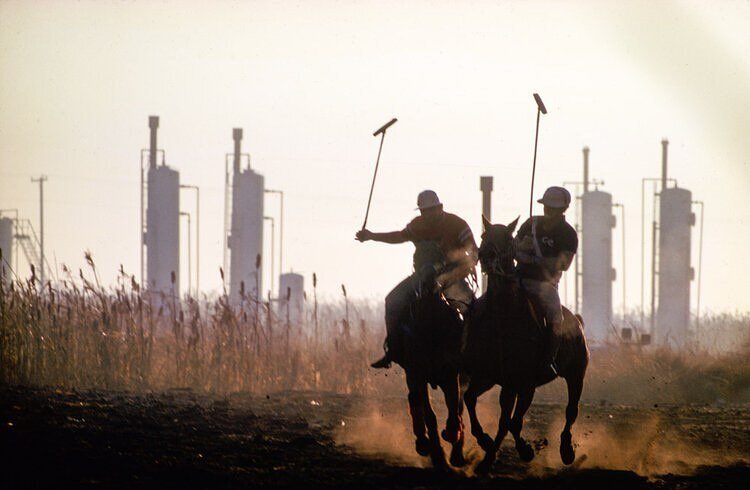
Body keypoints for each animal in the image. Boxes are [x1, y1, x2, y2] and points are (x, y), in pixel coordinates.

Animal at [394, 240, 470, 468]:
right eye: (416, 257)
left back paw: (457, 451)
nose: (428, 280)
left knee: (460, 407)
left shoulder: (451, 374)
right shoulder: (416, 375)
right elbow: (429, 414)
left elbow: (454, 408)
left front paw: (452, 437)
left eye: (439, 258)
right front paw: (436, 454)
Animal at [462, 216, 592, 472]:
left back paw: (566, 451)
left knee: (571, 411)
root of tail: (576, 321)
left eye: (508, 239)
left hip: (576, 374)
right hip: (500, 382)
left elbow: (512, 422)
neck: (503, 317)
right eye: (483, 235)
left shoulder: (525, 384)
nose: (486, 256)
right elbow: (471, 400)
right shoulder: (487, 375)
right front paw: (485, 443)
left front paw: (525, 450)